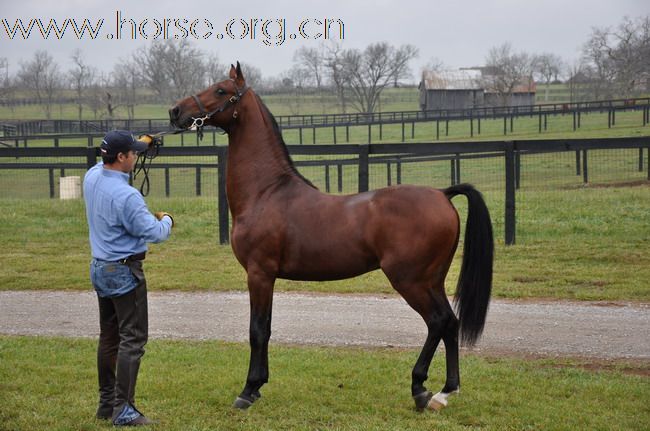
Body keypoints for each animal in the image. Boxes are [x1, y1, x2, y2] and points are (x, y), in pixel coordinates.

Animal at [168, 62, 492, 414]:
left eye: (221, 91)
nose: (175, 111)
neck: (266, 192)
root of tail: (442, 194)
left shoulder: (259, 273)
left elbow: (257, 330)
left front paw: (248, 390)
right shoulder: (267, 277)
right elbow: (266, 328)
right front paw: (258, 387)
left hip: (411, 281)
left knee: (437, 322)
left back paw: (420, 388)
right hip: (432, 281)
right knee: (450, 323)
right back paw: (445, 391)